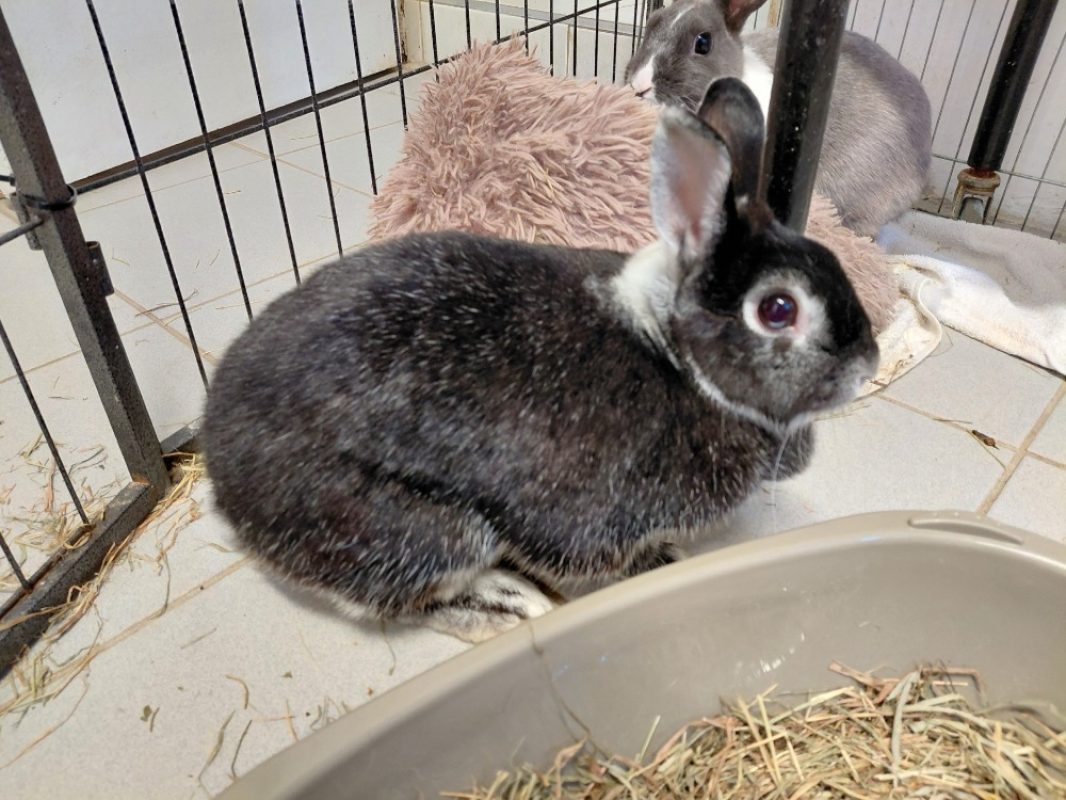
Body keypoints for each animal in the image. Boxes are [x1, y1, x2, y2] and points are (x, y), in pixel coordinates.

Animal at [201, 78, 879, 644]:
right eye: (778, 309)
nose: (868, 364)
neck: (673, 355)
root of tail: (221, 478)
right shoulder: (584, 519)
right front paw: (662, 565)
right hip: (421, 530)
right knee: (397, 599)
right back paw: (509, 604)